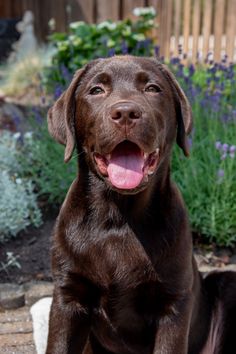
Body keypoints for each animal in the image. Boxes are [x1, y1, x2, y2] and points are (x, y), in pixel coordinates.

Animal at [45, 56, 236, 352]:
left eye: (153, 89)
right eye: (96, 90)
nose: (125, 113)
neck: (118, 216)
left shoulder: (173, 304)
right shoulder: (68, 296)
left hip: (227, 281)